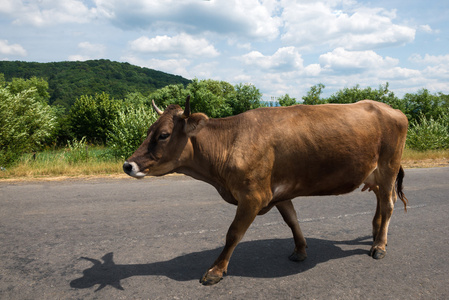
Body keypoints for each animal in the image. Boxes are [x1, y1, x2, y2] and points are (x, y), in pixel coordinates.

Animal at [121, 96, 406, 286]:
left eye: (164, 135)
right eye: (149, 131)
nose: (127, 165)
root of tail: (388, 108)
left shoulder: (252, 196)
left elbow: (233, 233)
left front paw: (215, 271)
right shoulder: (279, 193)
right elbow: (292, 221)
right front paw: (300, 250)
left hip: (388, 167)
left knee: (389, 204)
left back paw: (379, 245)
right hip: (376, 175)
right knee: (382, 203)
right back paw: (376, 234)